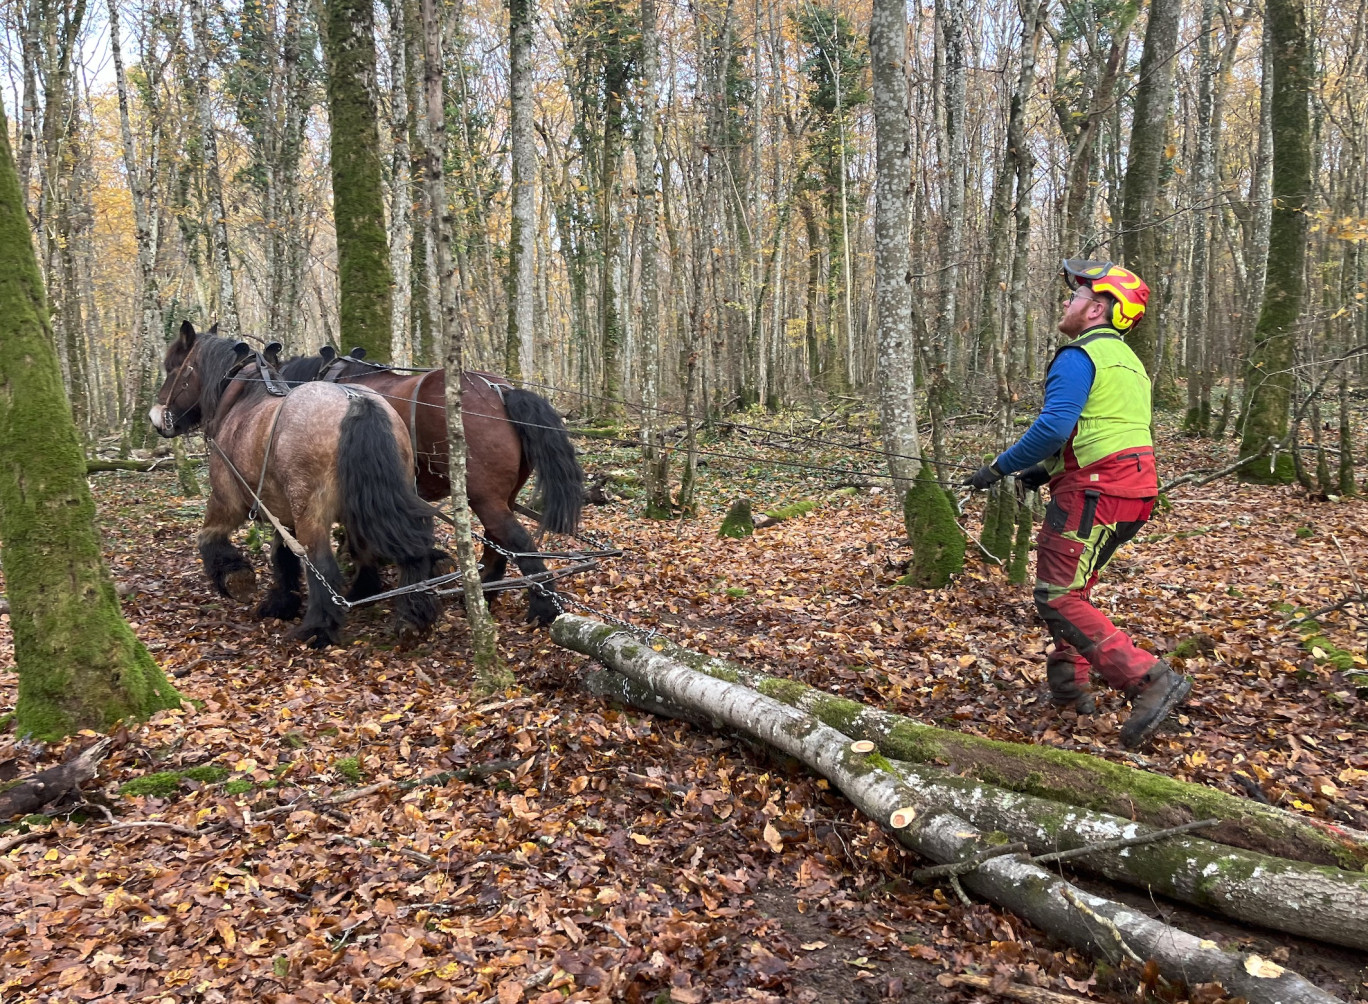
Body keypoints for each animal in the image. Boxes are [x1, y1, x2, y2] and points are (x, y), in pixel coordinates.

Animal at [149, 321, 442, 648]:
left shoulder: (226, 499)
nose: (156, 418)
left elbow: (208, 536)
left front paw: (234, 577)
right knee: (404, 548)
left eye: (172, 368)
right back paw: (407, 612)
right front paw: (282, 602)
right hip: (380, 499)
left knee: (321, 563)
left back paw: (318, 627)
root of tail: (355, 400)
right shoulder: (281, 509)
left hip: (310, 511)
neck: (242, 401)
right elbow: (283, 555)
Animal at [278, 349, 584, 625]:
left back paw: (543, 608)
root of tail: (501, 392)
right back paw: (486, 593)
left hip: (483, 497)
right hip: (504, 496)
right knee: (498, 540)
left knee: (518, 541)